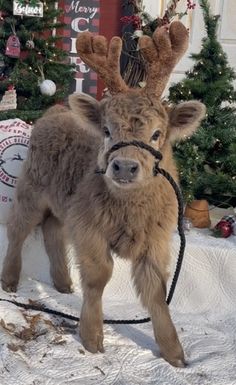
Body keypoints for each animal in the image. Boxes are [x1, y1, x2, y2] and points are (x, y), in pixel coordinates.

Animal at [0, 21, 205, 366]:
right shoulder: (89, 228)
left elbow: (157, 292)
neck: (130, 209)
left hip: (63, 201)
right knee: (18, 230)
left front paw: (174, 353)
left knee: (53, 230)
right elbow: (99, 276)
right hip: (30, 188)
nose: (124, 166)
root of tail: (55, 111)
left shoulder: (156, 239)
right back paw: (10, 280)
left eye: (157, 133)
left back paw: (63, 283)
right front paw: (93, 336)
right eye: (107, 131)